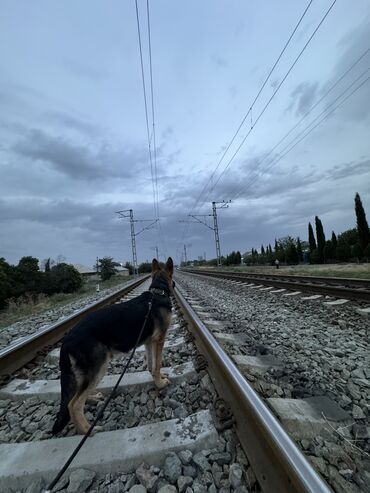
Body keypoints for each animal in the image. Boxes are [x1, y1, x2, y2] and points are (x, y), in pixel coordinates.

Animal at [52, 258, 175, 434]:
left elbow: (152, 365)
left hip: (84, 373)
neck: (158, 293)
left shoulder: (149, 343)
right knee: (73, 404)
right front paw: (160, 384)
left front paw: (157, 379)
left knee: (79, 395)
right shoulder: (159, 340)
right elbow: (157, 363)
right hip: (99, 367)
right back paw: (87, 430)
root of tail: (67, 340)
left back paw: (92, 399)